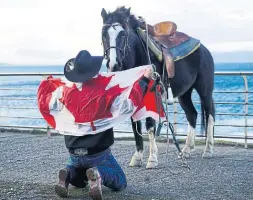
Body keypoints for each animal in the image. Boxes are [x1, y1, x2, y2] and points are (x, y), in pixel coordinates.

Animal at [101, 6, 215, 169]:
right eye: (103, 34)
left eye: (123, 34)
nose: (113, 65)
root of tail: (204, 49)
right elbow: (136, 126)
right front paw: (137, 158)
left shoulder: (152, 94)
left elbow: (149, 125)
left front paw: (152, 159)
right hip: (184, 93)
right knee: (192, 114)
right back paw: (186, 150)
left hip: (205, 89)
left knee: (210, 113)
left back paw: (208, 149)